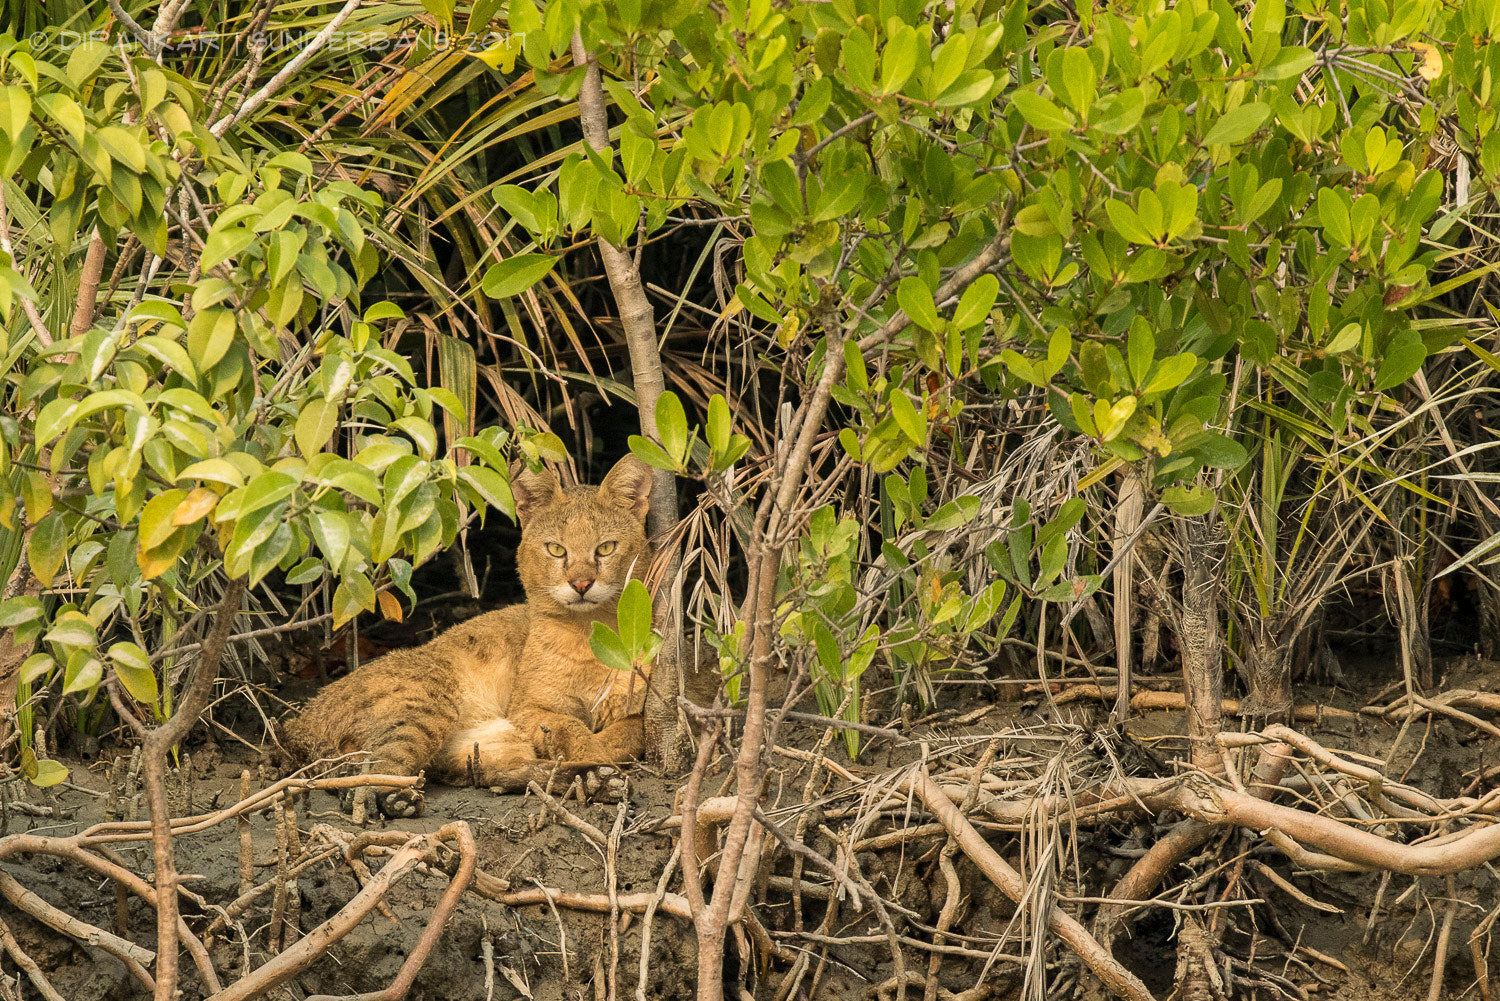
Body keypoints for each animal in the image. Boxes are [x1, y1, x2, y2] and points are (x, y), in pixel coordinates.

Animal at [282, 459, 657, 816]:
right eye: (556, 549)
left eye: (606, 548)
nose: (581, 583)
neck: (588, 633)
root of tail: (300, 717)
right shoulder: (530, 708)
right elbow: (572, 728)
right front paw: (598, 760)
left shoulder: (638, 707)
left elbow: (627, 734)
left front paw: (602, 765)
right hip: (426, 704)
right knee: (377, 766)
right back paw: (394, 799)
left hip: (486, 741)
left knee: (499, 772)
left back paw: (594, 781)